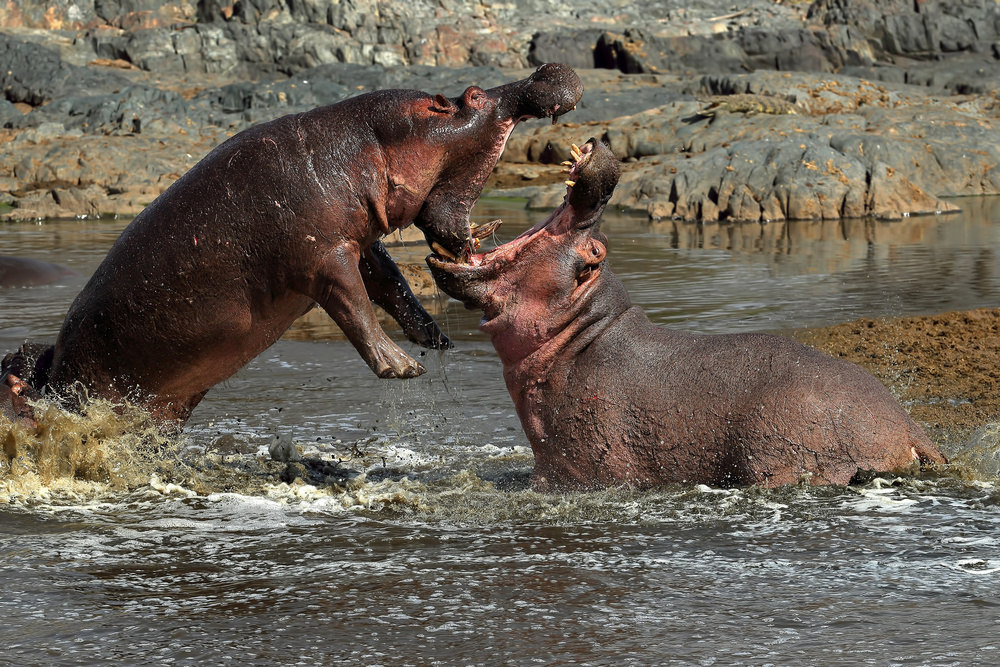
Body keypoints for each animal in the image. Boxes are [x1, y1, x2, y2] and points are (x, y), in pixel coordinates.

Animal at [1, 64, 584, 434]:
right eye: (472, 96)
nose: (545, 70)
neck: (365, 146)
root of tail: (50, 379)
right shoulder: (324, 257)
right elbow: (354, 308)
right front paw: (403, 369)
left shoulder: (360, 243)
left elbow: (391, 285)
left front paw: (434, 339)